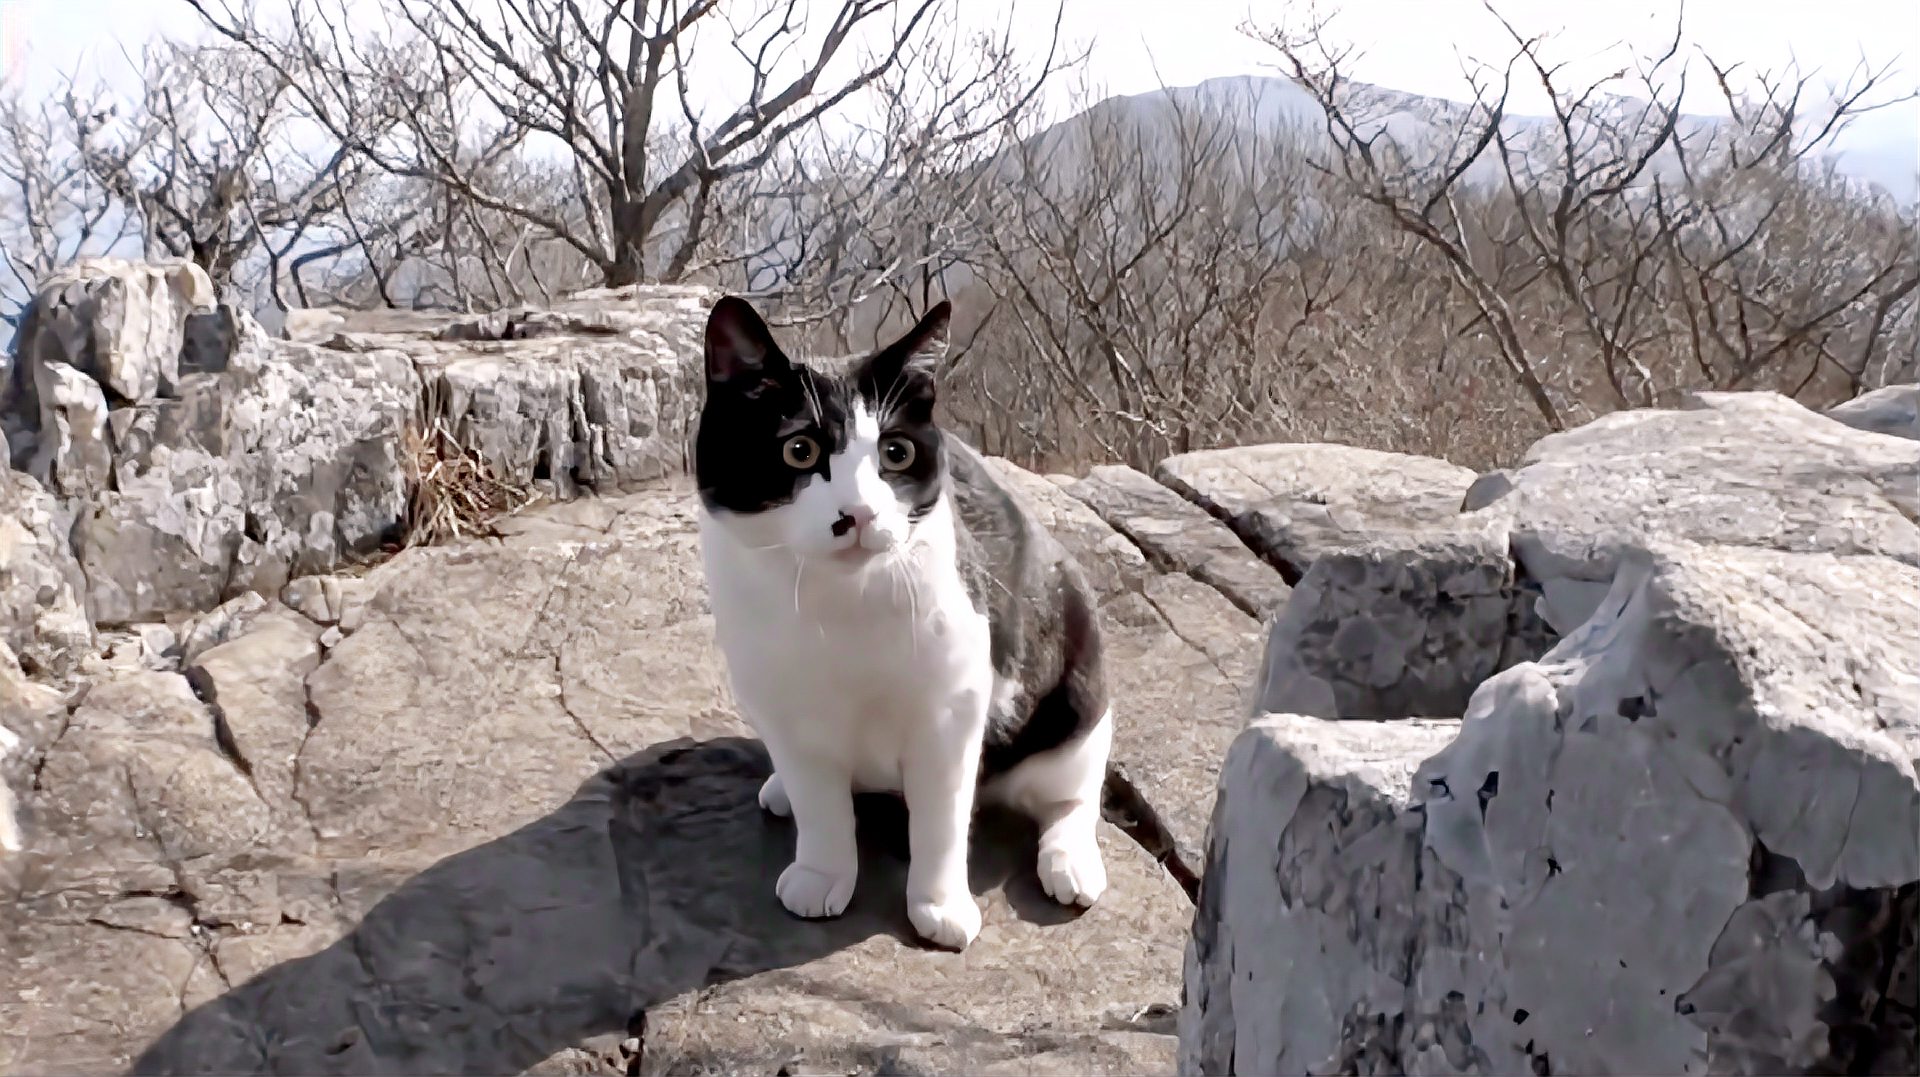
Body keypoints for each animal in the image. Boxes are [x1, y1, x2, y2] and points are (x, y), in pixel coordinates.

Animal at [691, 293, 1113, 948]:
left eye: (896, 452)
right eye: (799, 450)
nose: (859, 513)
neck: (838, 606)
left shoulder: (951, 709)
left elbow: (941, 817)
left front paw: (940, 907)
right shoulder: (783, 706)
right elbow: (820, 805)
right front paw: (820, 874)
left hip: (1076, 677)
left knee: (1075, 788)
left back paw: (1071, 861)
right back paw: (781, 789)